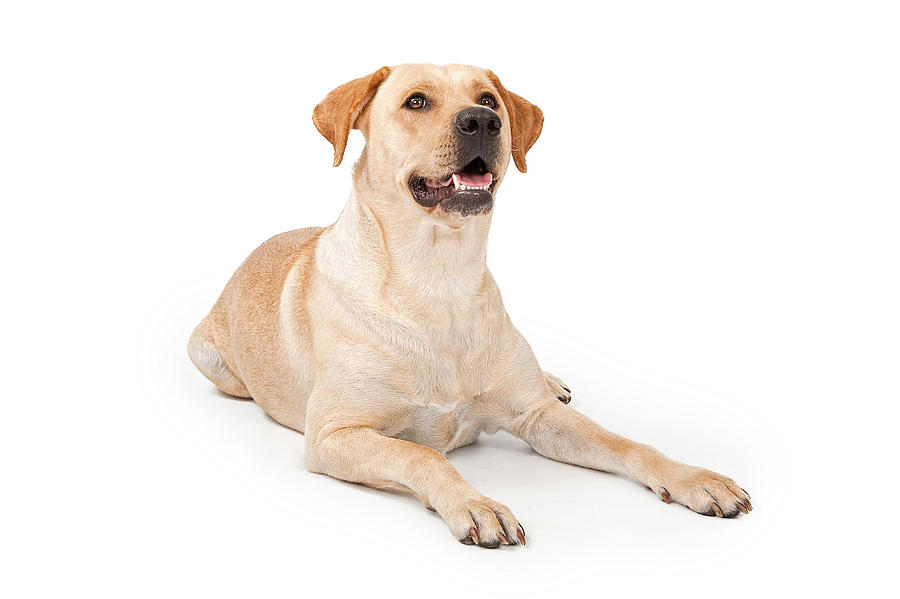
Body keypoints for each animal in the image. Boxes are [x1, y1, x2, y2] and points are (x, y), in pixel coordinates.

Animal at [186, 62, 748, 548]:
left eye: (488, 99)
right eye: (416, 101)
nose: (482, 121)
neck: (441, 278)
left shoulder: (536, 417)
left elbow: (626, 443)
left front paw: (691, 476)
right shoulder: (333, 435)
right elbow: (424, 456)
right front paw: (476, 505)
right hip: (207, 357)